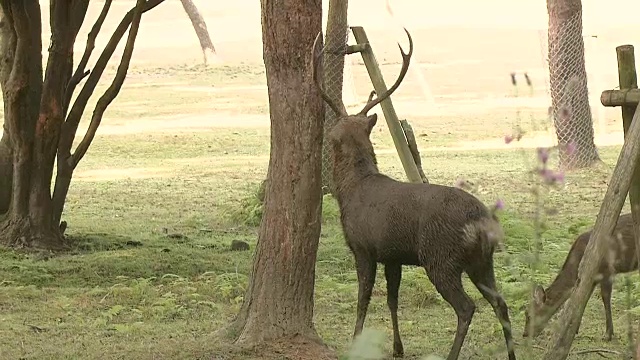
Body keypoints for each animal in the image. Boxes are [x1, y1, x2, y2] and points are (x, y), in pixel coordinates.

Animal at [524, 212, 636, 342]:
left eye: (529, 315)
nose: (525, 334)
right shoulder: (591, 278)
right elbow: (583, 298)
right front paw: (575, 330)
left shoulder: (607, 270)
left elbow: (605, 298)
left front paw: (608, 334)